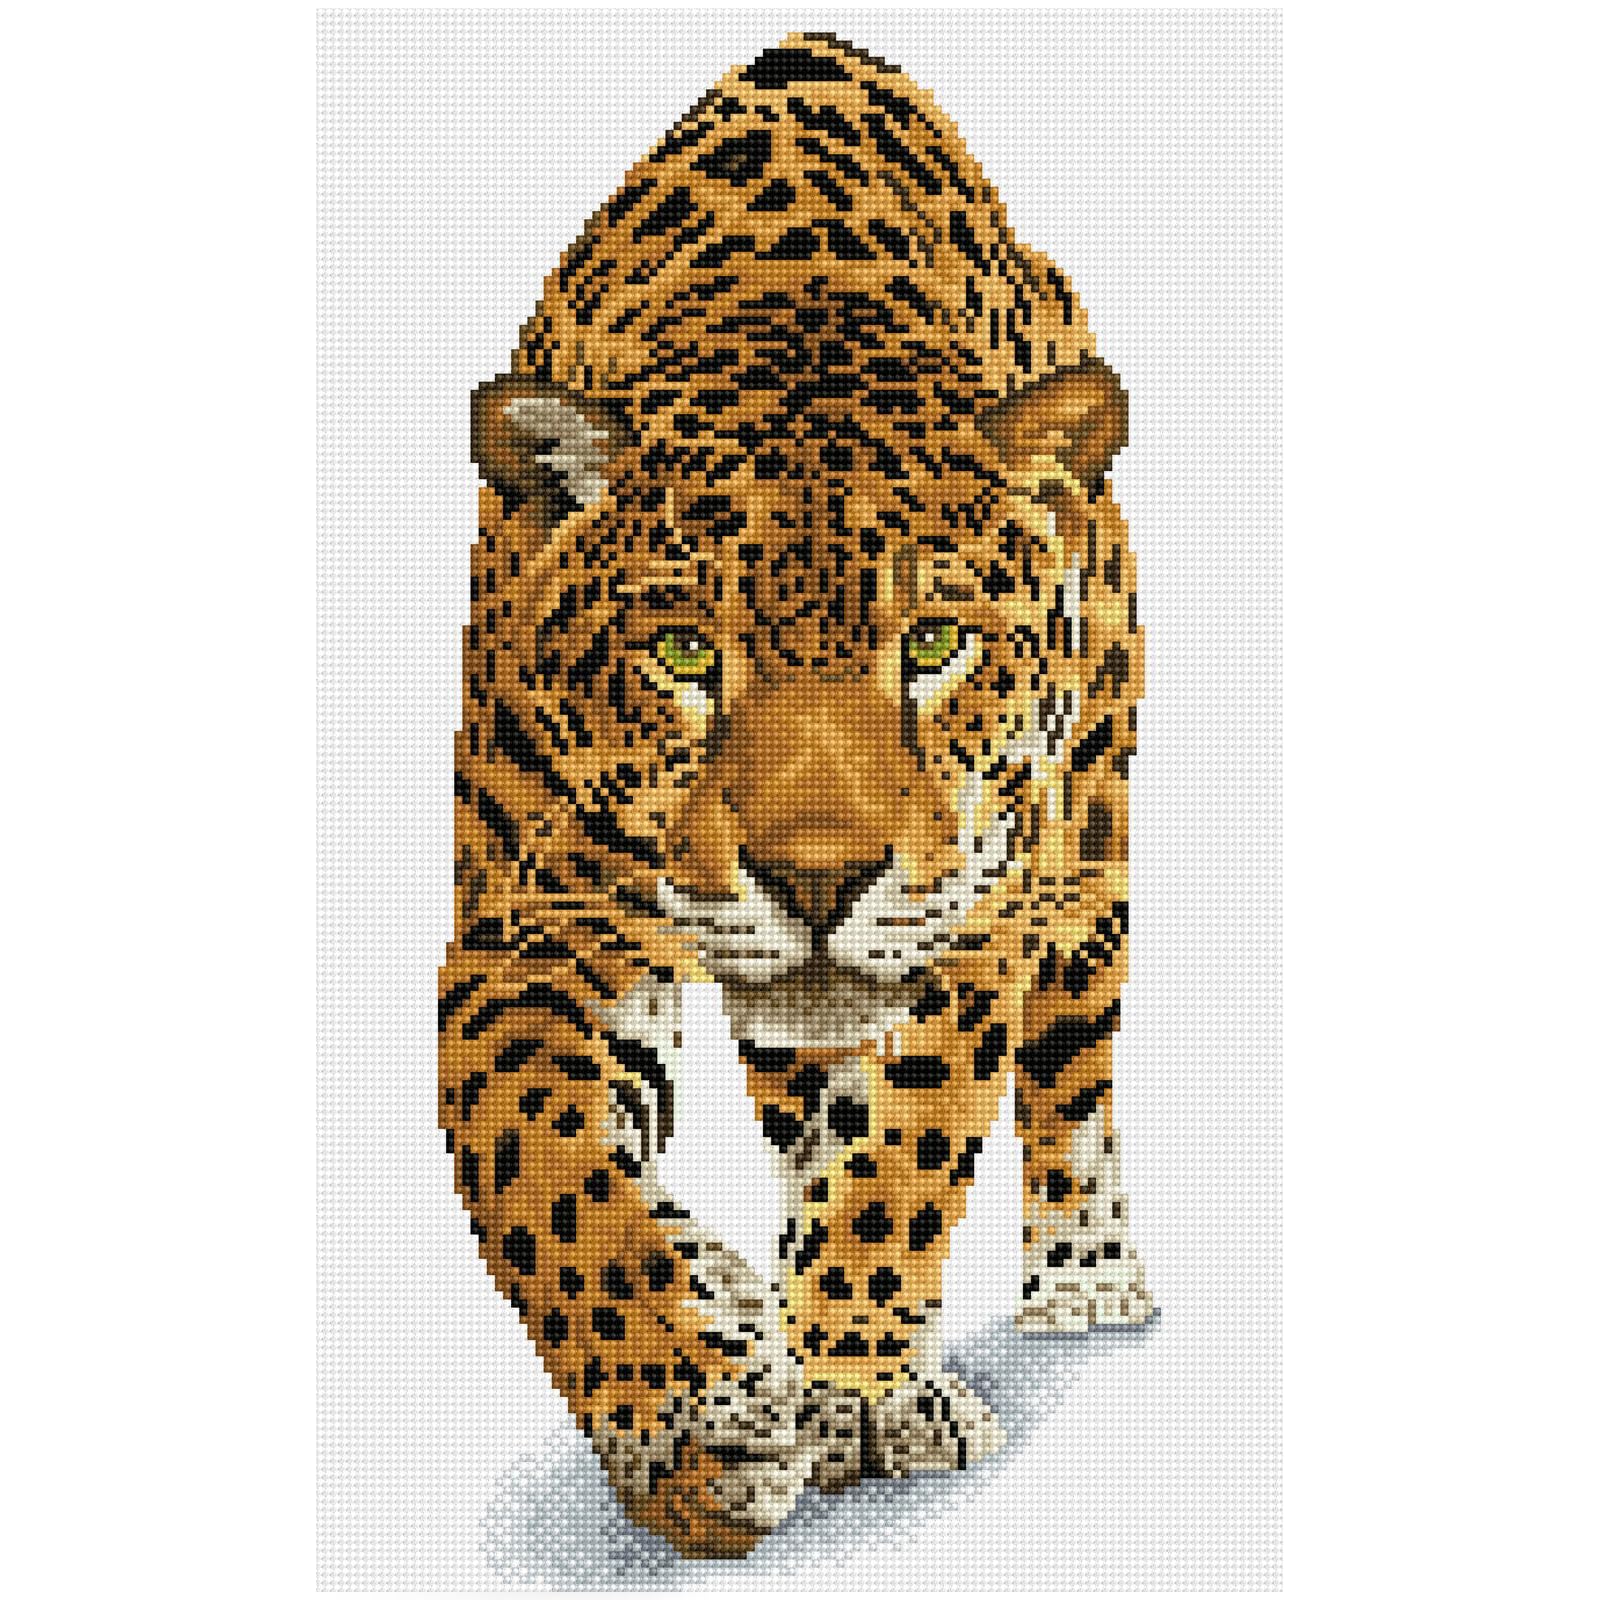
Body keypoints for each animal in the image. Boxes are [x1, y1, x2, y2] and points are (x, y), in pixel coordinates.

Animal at [440, 32, 1151, 1558]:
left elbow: (907, 1149)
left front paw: (860, 1388)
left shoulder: (977, 917)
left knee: (1072, 1067)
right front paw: (694, 1426)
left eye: (933, 647)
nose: (817, 879)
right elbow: (547, 1176)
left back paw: (1083, 1272)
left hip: (1092, 850)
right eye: (683, 653)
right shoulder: (530, 933)